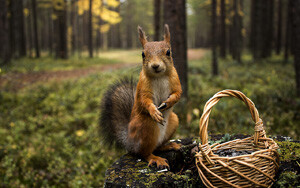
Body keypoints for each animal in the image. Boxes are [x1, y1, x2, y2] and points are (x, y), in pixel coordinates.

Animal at [99, 24, 182, 169]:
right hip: (146, 126)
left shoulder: (176, 81)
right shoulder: (143, 88)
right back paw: (155, 158)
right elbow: (145, 101)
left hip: (174, 120)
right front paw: (154, 111)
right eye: (143, 54)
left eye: (168, 52)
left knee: (157, 147)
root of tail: (129, 142)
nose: (155, 66)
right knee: (144, 153)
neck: (159, 76)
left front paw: (169, 102)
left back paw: (169, 145)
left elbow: (178, 94)